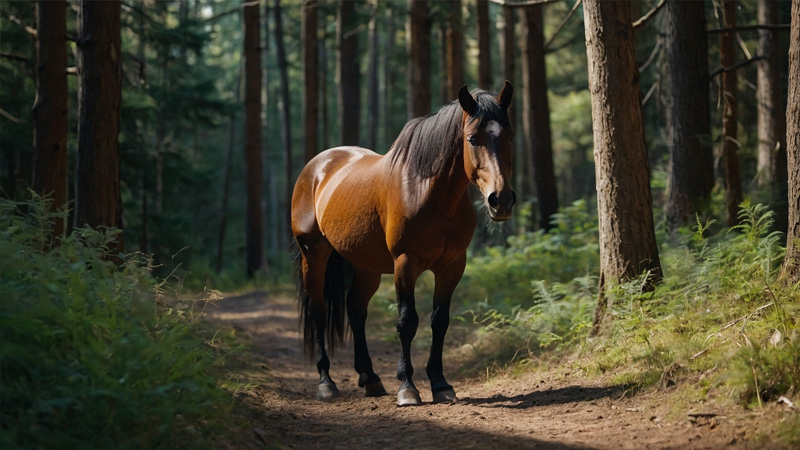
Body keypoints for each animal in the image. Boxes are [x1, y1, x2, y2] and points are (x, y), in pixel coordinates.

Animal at [290, 81, 516, 408]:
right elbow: (407, 322)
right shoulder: (405, 263)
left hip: (366, 266)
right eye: (473, 139)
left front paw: (440, 383)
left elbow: (439, 321)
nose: (501, 200)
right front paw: (408, 387)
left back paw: (370, 378)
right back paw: (326, 383)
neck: (427, 192)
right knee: (319, 312)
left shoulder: (452, 266)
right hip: (314, 256)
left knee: (356, 310)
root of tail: (316, 167)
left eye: (510, 136)